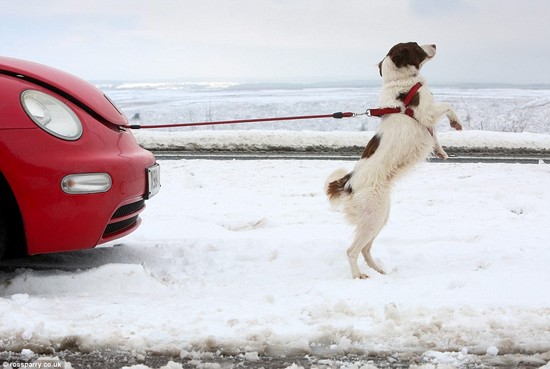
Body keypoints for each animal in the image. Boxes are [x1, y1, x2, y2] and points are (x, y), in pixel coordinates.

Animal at [326, 42, 464, 278]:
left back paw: (379, 271)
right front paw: (455, 122)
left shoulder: (428, 124)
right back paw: (358, 275)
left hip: (380, 217)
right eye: (416, 45)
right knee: (352, 250)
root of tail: (348, 182)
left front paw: (441, 152)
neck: (400, 83)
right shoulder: (427, 113)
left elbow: (435, 135)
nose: (435, 44)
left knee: (365, 249)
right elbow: (448, 105)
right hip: (374, 216)